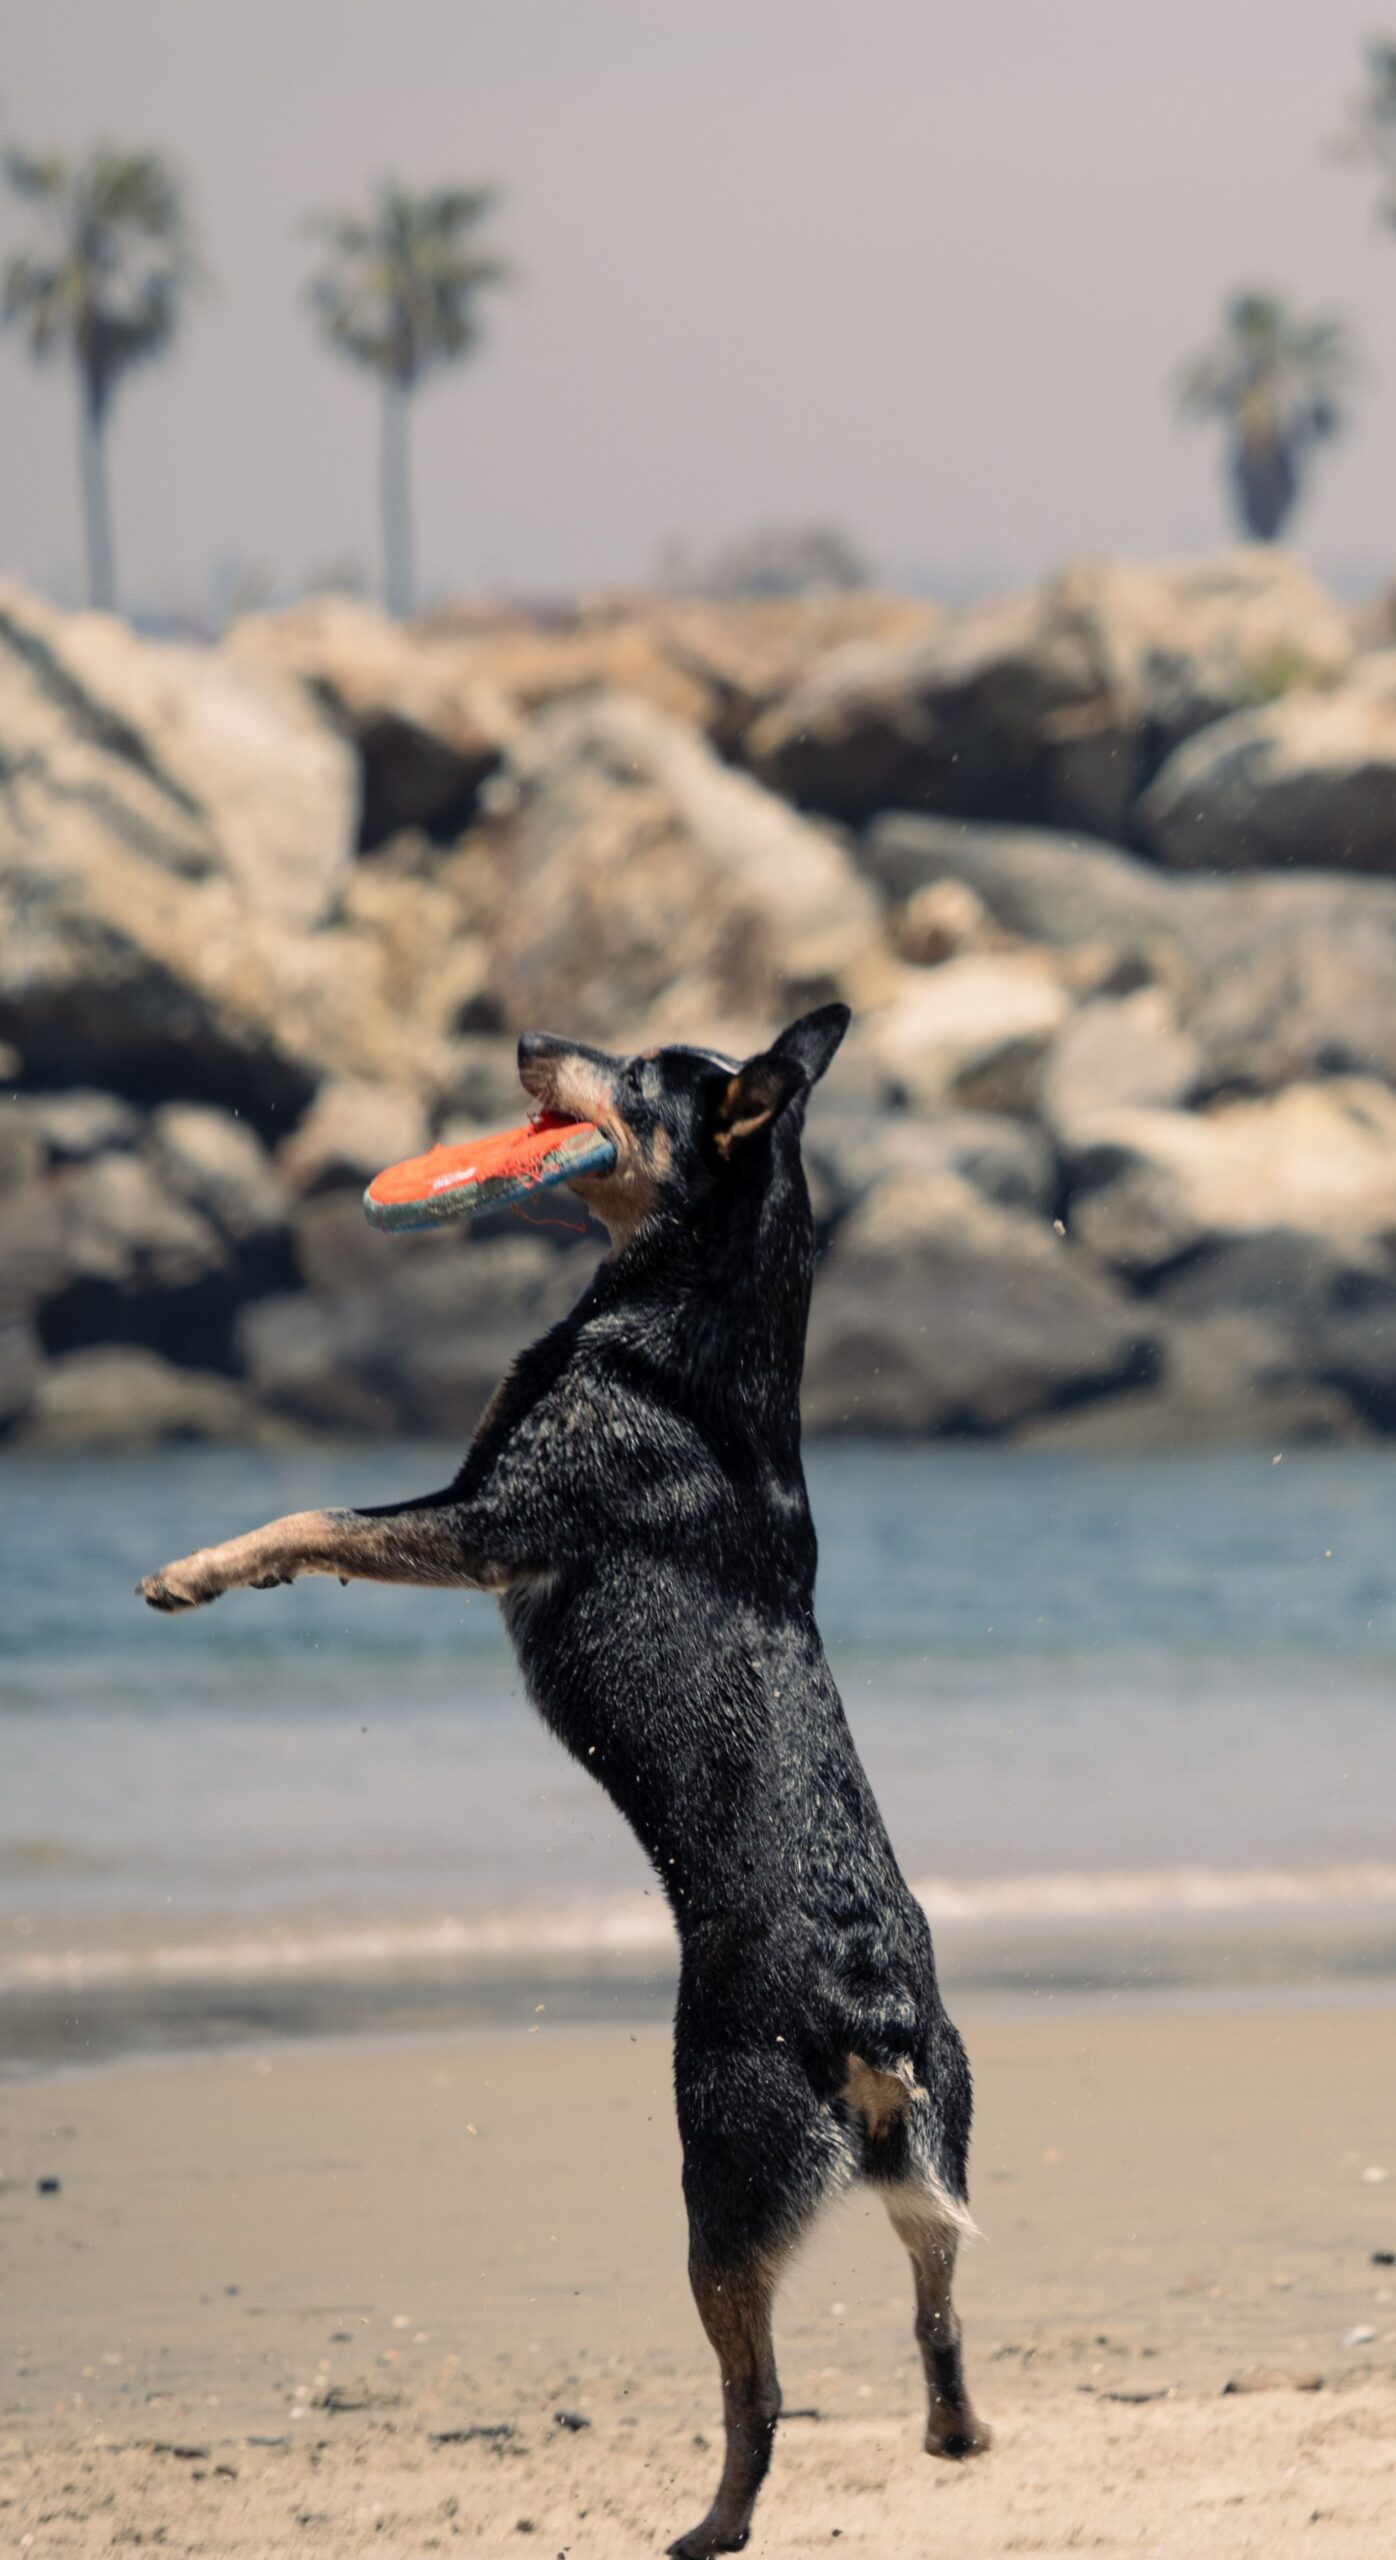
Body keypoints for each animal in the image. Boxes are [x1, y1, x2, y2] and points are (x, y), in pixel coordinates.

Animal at [138, 1008, 988, 2549]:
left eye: (637, 1071)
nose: (527, 1031)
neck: (691, 1319)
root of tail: (870, 2015)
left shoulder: (487, 1523)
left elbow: (314, 1514)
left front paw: (193, 1571)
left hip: (721, 2170)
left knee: (760, 2392)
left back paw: (713, 2524)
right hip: (928, 2159)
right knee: (936, 2309)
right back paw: (954, 2432)